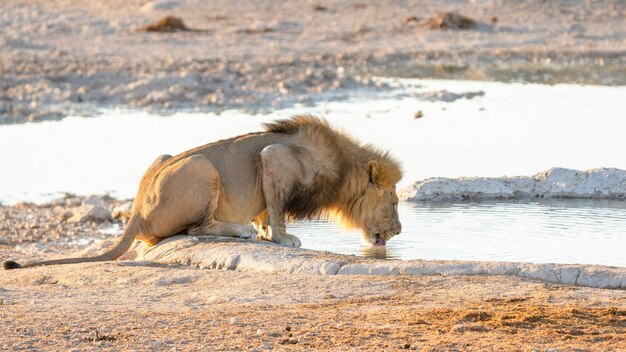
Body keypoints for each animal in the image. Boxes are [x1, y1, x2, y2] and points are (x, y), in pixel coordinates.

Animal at [3, 115, 400, 270]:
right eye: (394, 202)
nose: (398, 232)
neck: (342, 169)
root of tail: (136, 211)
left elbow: (265, 212)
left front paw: (264, 231)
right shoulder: (274, 157)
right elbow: (276, 209)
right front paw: (282, 238)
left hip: (165, 157)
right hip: (202, 166)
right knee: (196, 228)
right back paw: (238, 229)